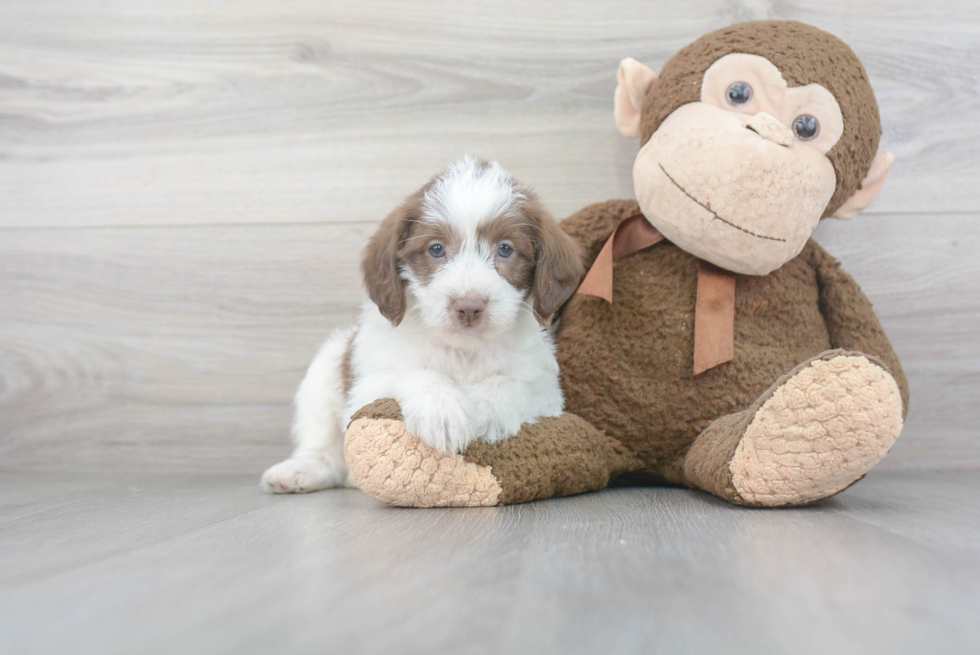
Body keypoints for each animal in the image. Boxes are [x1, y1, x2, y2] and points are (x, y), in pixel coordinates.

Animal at [260, 156, 580, 492]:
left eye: (505, 249)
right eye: (436, 249)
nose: (469, 306)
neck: (463, 349)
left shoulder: (547, 392)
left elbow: (511, 383)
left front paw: (485, 409)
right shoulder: (368, 386)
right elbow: (415, 373)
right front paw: (440, 410)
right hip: (325, 371)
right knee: (323, 445)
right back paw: (302, 469)